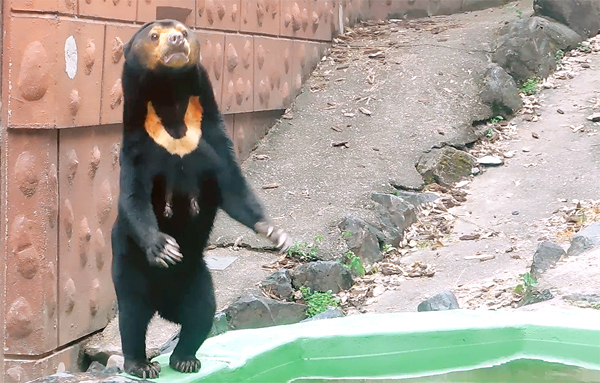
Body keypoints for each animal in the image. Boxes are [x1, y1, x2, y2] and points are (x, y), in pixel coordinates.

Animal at [112, 19, 292, 380]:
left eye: (183, 30)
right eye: (155, 36)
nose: (176, 40)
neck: (171, 109)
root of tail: (164, 305)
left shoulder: (208, 141)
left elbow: (234, 188)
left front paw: (275, 233)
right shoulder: (140, 148)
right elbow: (134, 198)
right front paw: (164, 247)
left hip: (197, 276)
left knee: (201, 311)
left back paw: (184, 359)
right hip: (129, 267)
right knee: (133, 314)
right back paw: (141, 364)